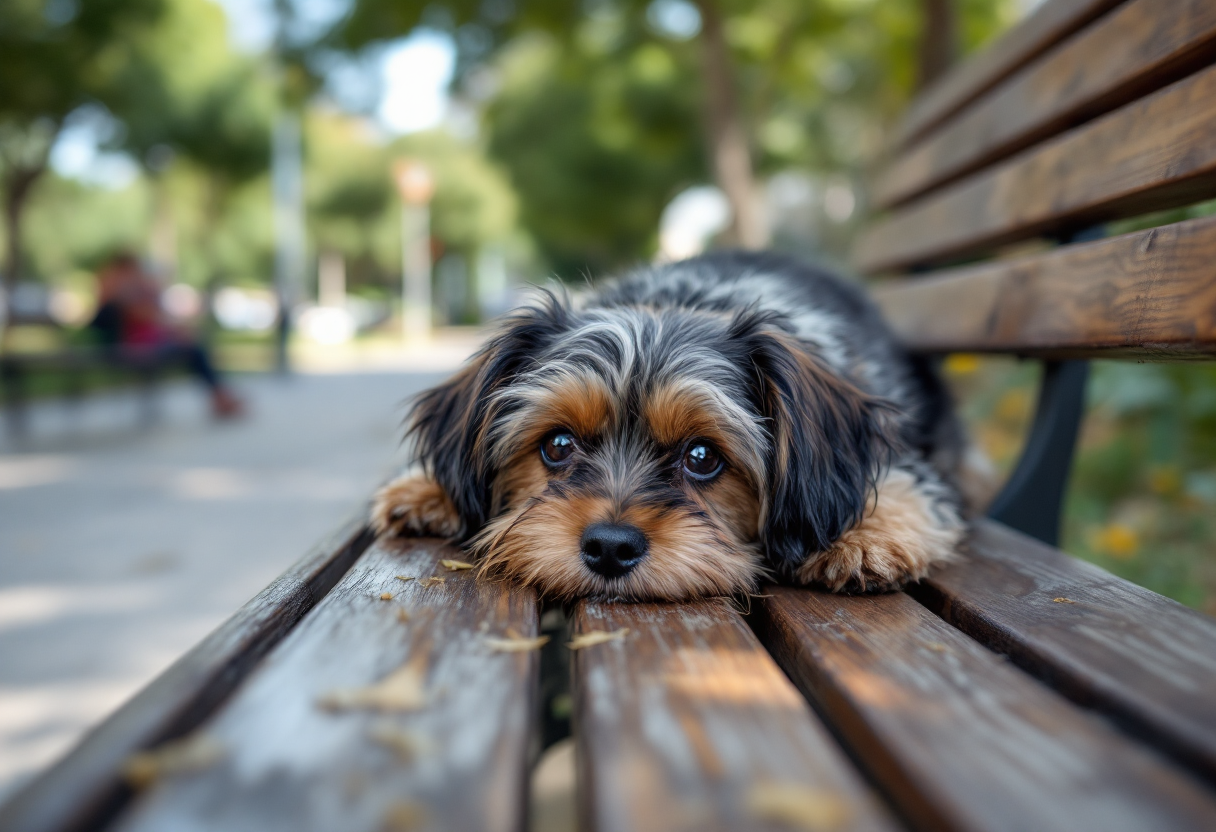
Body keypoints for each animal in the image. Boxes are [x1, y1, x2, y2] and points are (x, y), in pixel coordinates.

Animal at [369, 250, 967, 600]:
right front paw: (423, 487)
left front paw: (864, 539)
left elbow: (905, 482)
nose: (610, 548)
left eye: (702, 457)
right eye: (557, 444)